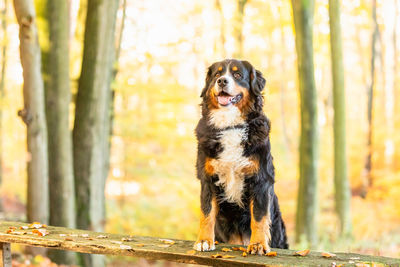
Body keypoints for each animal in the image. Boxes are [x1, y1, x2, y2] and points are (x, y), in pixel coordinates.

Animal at [193, 58, 288, 255]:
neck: (231, 126)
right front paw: (204, 241)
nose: (222, 81)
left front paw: (258, 244)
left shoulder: (260, 178)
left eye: (237, 75)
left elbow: (259, 216)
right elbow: (207, 212)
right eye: (217, 74)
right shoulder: (207, 178)